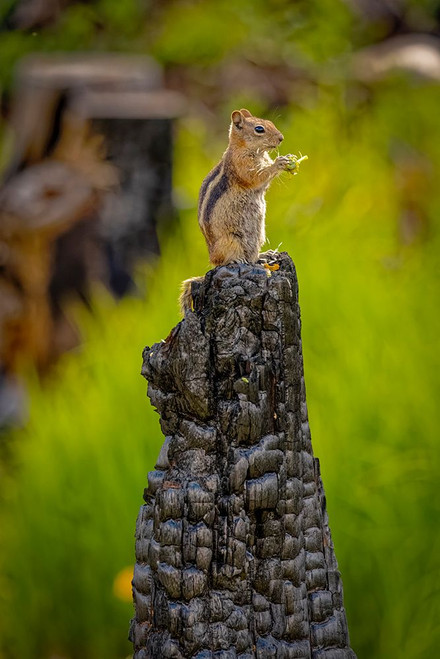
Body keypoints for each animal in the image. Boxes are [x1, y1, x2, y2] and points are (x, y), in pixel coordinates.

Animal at [180, 108, 307, 314]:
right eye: (259, 129)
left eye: (270, 122)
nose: (281, 138)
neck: (250, 150)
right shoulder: (242, 166)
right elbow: (257, 177)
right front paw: (279, 163)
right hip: (231, 242)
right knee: (224, 261)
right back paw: (237, 261)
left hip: (257, 238)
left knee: (253, 257)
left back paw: (263, 257)